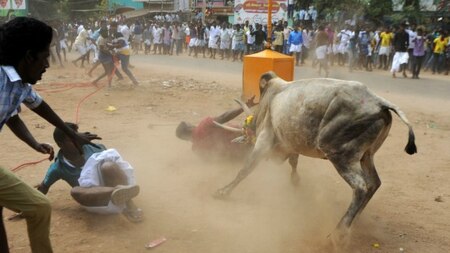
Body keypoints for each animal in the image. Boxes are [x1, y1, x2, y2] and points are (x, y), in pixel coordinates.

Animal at [213, 71, 416, 229]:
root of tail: (379, 102)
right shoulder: (290, 144)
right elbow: (294, 162)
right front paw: (295, 181)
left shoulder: (265, 139)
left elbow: (245, 169)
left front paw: (223, 191)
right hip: (367, 156)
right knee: (374, 183)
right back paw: (354, 221)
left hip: (340, 154)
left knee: (360, 187)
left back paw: (339, 233)